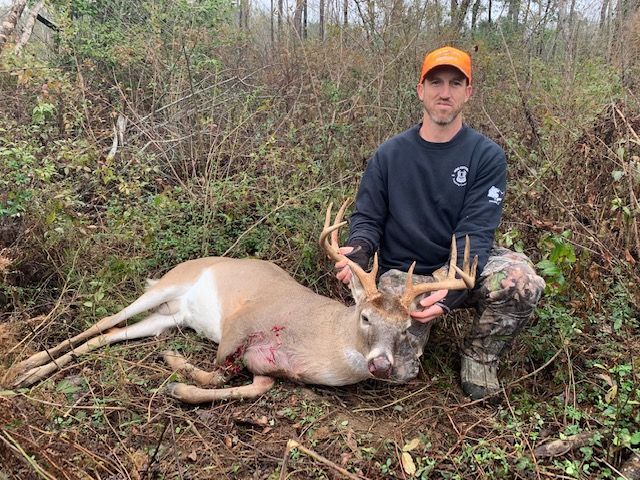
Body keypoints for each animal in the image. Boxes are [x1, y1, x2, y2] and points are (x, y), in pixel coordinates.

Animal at [9, 201, 477, 404]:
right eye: (365, 316)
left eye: (406, 330)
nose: (381, 365)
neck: (319, 344)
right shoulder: (242, 322)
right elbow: (218, 371)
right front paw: (176, 370)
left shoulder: (267, 368)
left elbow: (248, 388)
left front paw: (178, 381)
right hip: (166, 287)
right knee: (105, 319)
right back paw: (21, 367)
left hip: (169, 317)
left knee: (111, 335)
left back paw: (27, 374)